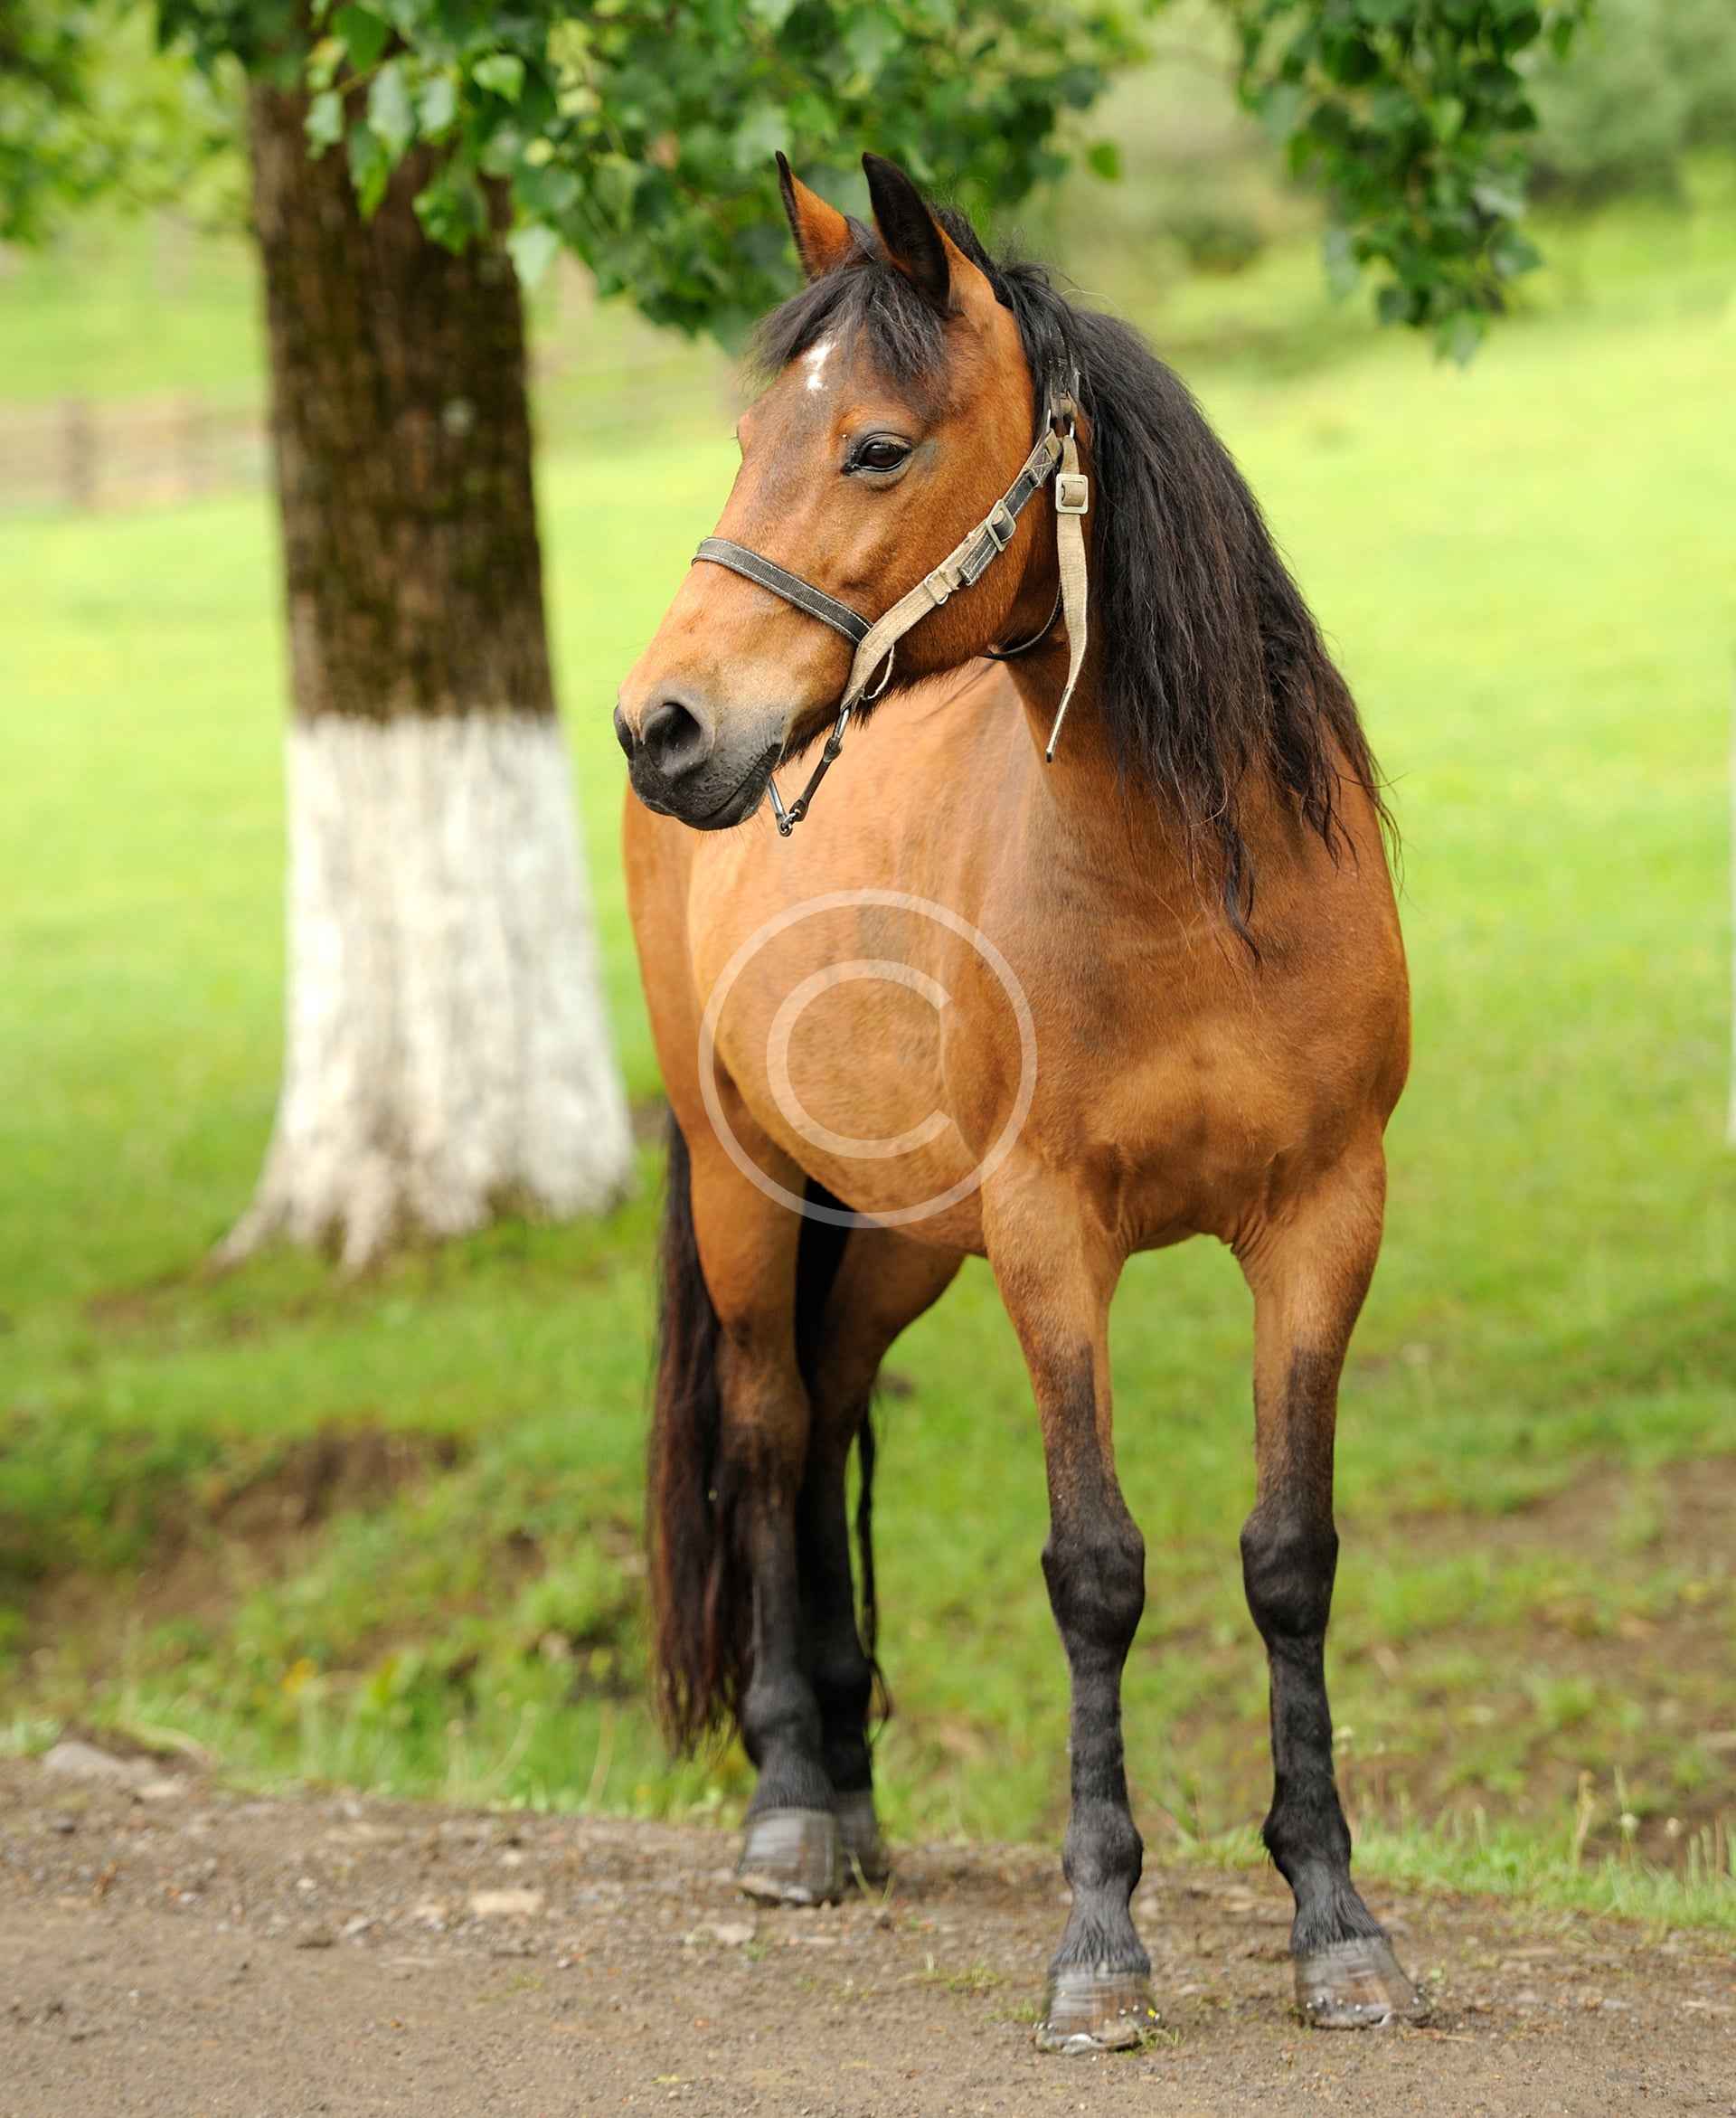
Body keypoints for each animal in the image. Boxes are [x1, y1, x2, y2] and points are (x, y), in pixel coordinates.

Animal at [613, 151, 1419, 2053]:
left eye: (873, 446)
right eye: (750, 431)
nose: (662, 725)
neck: (1197, 883)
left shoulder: (1323, 1220)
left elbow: (1292, 1554)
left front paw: (1335, 1922)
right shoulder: (1056, 1234)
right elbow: (1096, 1567)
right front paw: (1101, 1944)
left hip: (904, 1228)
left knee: (832, 1404)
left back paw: (849, 1788)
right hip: (750, 1185)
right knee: (768, 1423)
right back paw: (788, 1808)